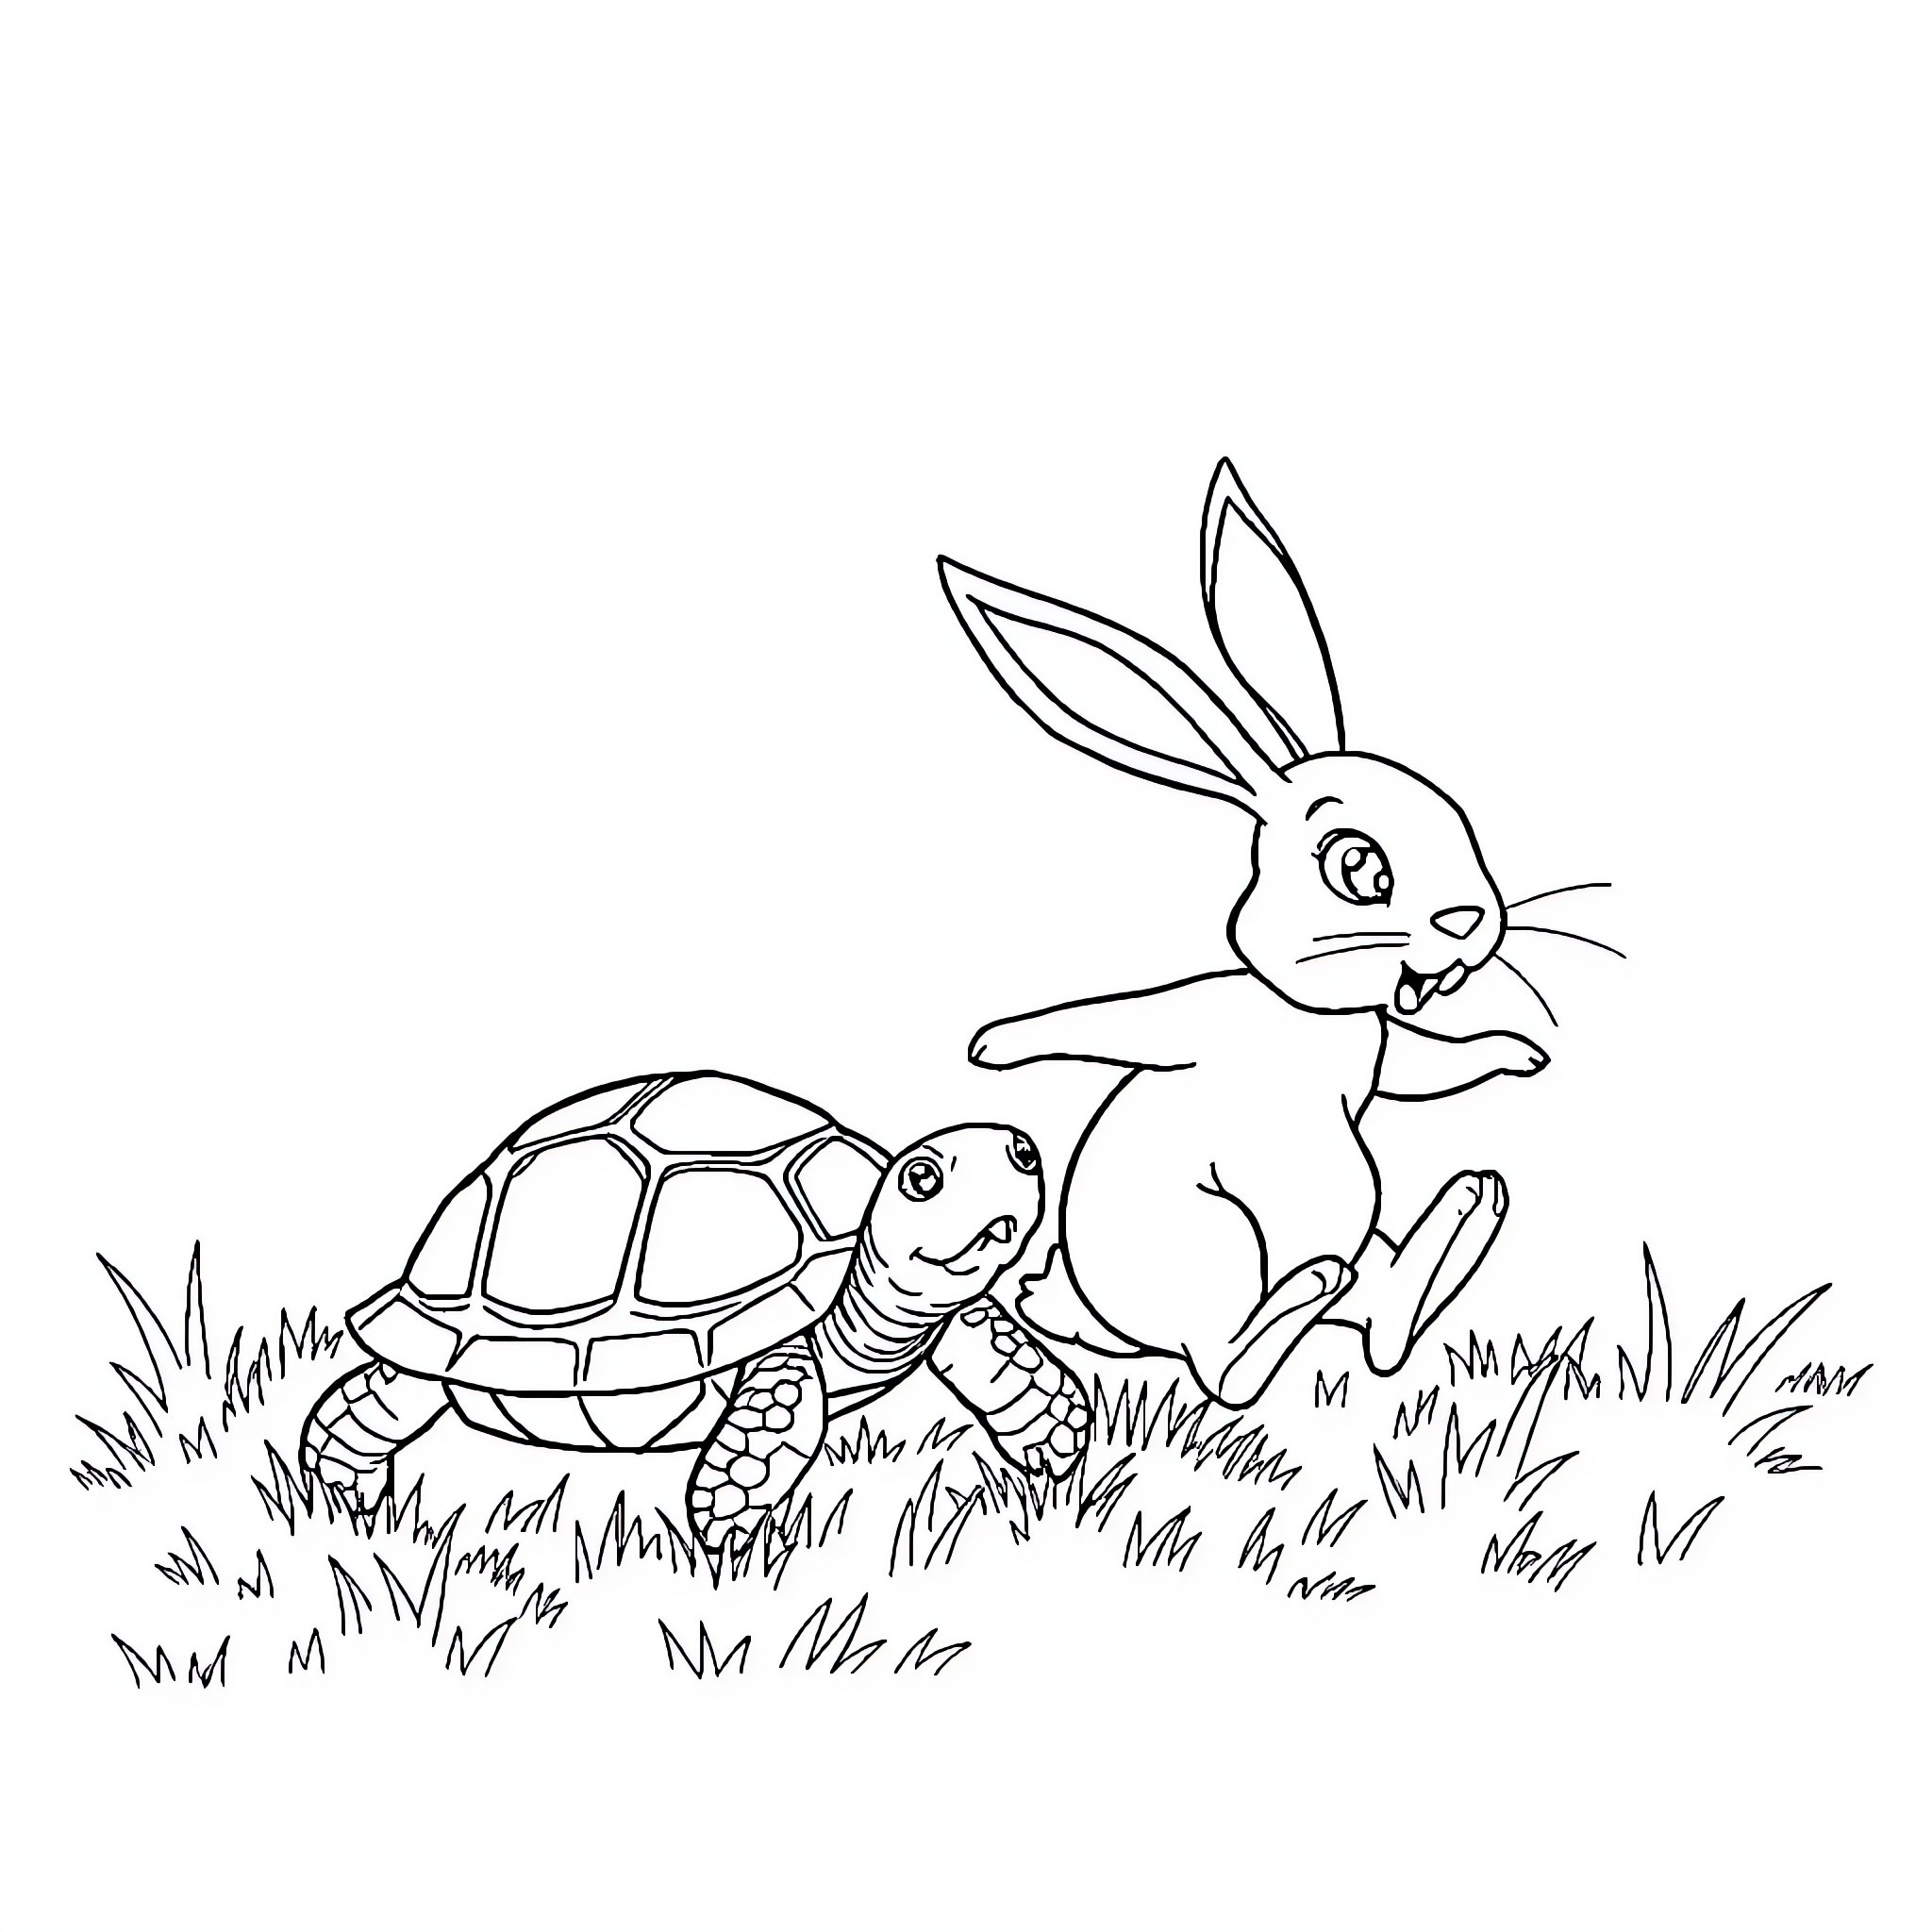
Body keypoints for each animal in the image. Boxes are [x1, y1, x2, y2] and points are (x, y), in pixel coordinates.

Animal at [937, 459, 1552, 1407]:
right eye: (1358, 866)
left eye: (1456, 823)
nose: (1469, 921)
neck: (1303, 1023)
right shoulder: (1193, 1021)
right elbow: (1105, 1021)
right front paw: (996, 1047)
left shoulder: (1382, 1058)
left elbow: (1428, 1068)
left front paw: (1517, 1052)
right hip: (1223, 1239)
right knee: (1229, 1372)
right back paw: (1312, 1287)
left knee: (1379, 1329)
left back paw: (1459, 1225)